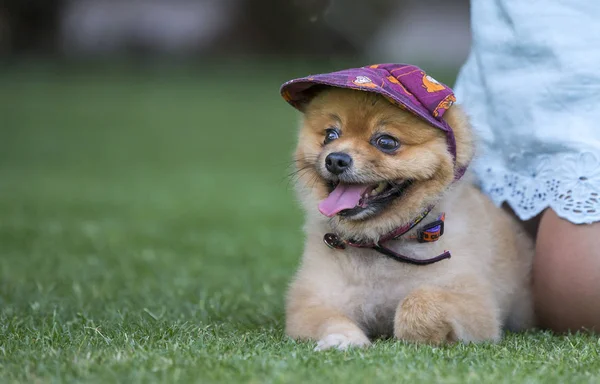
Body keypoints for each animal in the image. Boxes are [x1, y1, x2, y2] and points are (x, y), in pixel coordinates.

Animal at [278, 64, 536, 350]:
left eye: (386, 142)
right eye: (330, 135)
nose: (335, 159)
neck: (379, 244)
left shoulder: (475, 304)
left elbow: (420, 301)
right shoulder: (313, 299)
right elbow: (328, 319)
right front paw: (342, 339)